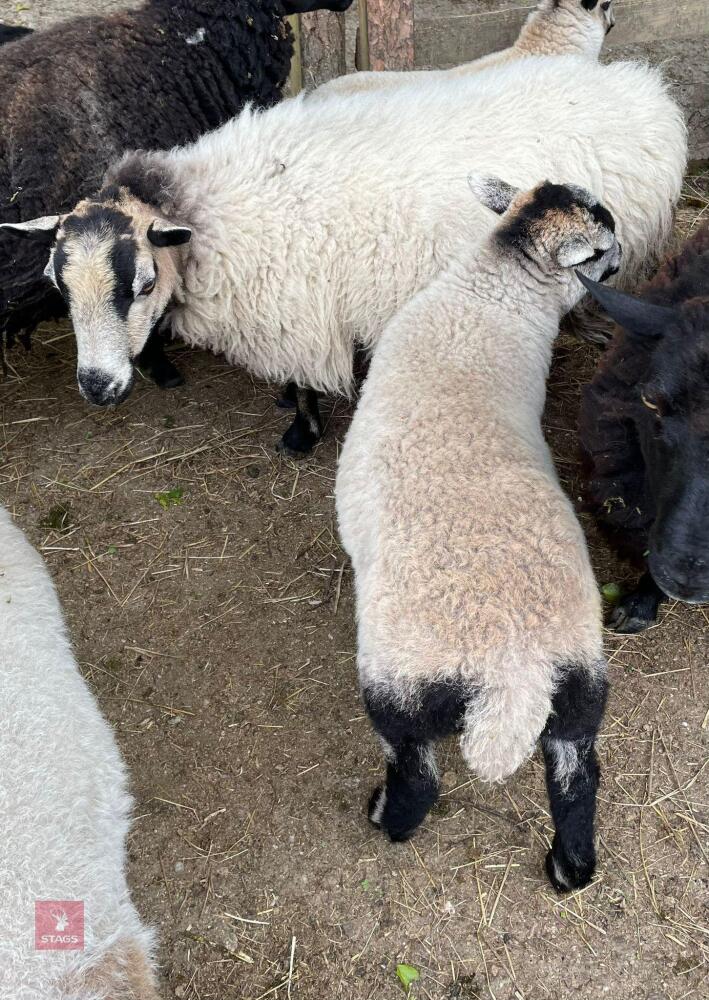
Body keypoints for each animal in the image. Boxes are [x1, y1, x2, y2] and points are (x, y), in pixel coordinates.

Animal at [0, 55, 685, 455]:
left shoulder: (295, 313)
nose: (97, 387)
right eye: (59, 286)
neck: (209, 218)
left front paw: (300, 429)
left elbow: (305, 381)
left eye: (141, 284)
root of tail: (640, 83)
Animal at [335, 177, 621, 892]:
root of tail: (513, 679)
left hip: (400, 682)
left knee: (418, 774)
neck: (492, 294)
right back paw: (568, 867)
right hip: (580, 688)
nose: (625, 260)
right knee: (578, 778)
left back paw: (386, 816)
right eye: (599, 245)